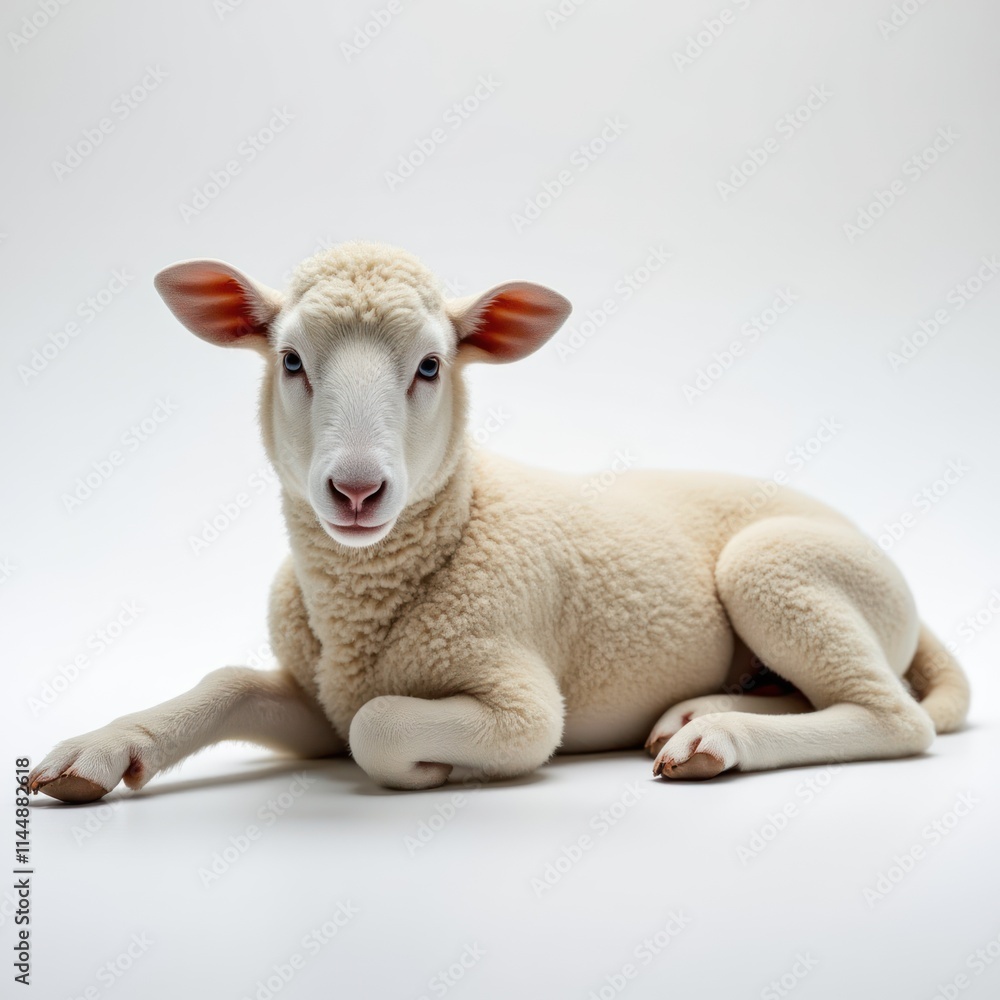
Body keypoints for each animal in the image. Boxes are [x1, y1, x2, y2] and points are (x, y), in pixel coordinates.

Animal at [29, 241, 970, 802]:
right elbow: (229, 684)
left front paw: (434, 766)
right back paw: (698, 712)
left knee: (892, 716)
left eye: (431, 366)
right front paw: (100, 749)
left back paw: (720, 737)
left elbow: (380, 726)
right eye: (290, 360)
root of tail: (908, 598)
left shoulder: (518, 696)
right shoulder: (319, 693)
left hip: (779, 564)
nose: (358, 491)